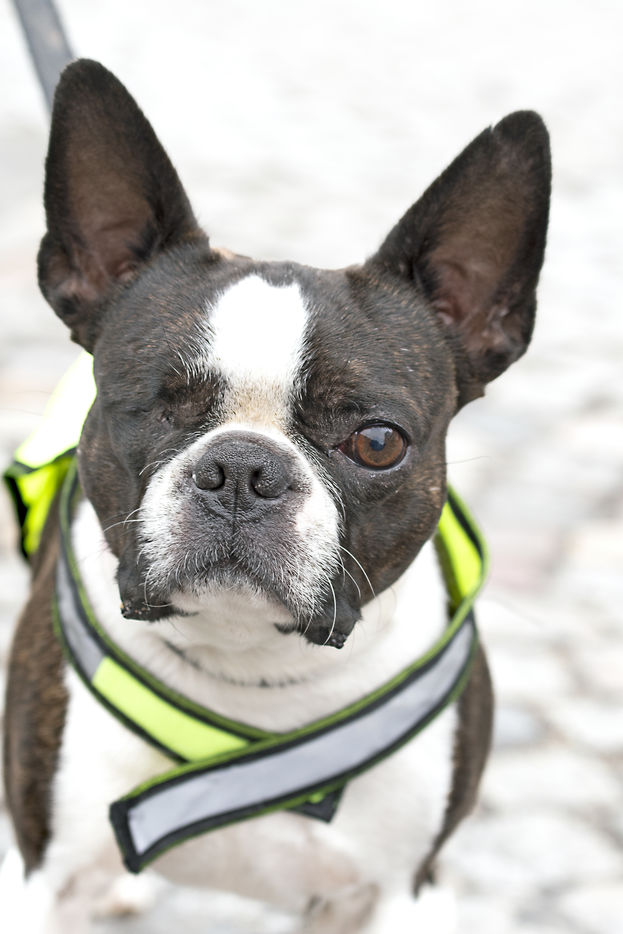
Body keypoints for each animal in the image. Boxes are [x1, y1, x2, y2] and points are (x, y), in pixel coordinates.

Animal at [1, 59, 550, 932]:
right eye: (151, 406)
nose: (241, 470)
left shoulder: (393, 895)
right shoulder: (44, 878)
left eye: (377, 441)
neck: (252, 672)